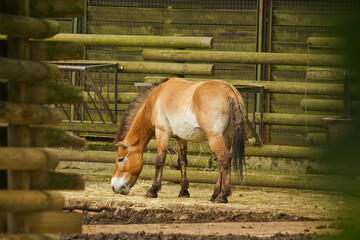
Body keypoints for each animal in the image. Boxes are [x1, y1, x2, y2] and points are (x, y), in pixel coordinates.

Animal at [112, 78, 248, 202]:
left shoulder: (162, 133)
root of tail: (229, 91)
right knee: (221, 163)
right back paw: (214, 194)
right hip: (226, 137)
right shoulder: (181, 139)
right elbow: (182, 161)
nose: (114, 187)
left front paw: (152, 190)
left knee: (225, 158)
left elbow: (159, 161)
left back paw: (222, 195)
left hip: (214, 137)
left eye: (120, 159)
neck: (154, 101)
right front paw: (184, 191)